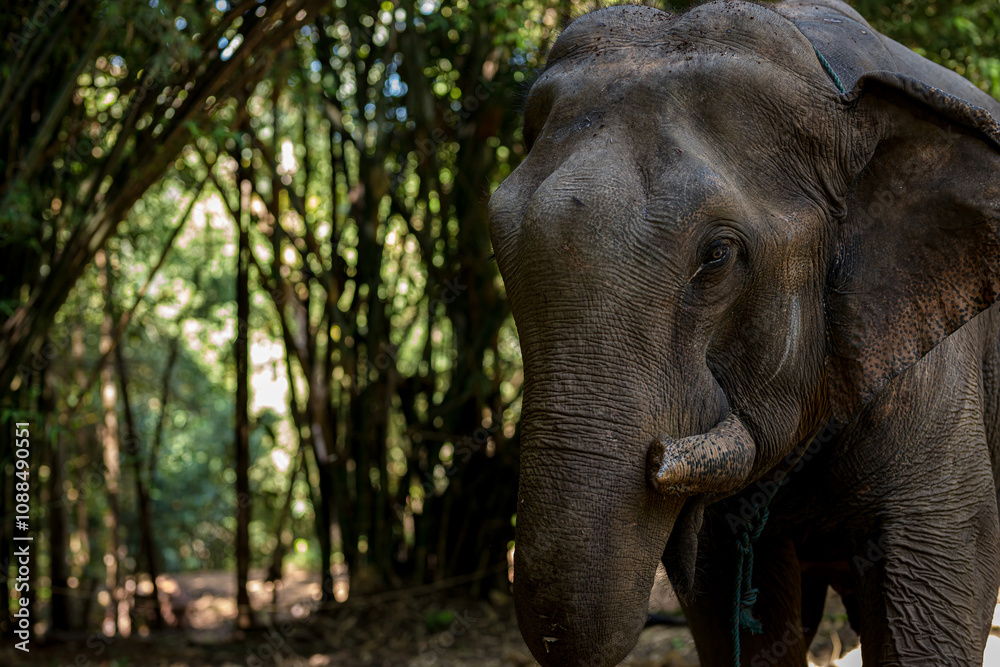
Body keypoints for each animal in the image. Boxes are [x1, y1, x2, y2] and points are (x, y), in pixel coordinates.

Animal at [487, 0, 1000, 665]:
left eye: (717, 256)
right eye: (498, 239)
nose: (658, 453)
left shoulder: (936, 370)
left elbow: (936, 588)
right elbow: (733, 610)